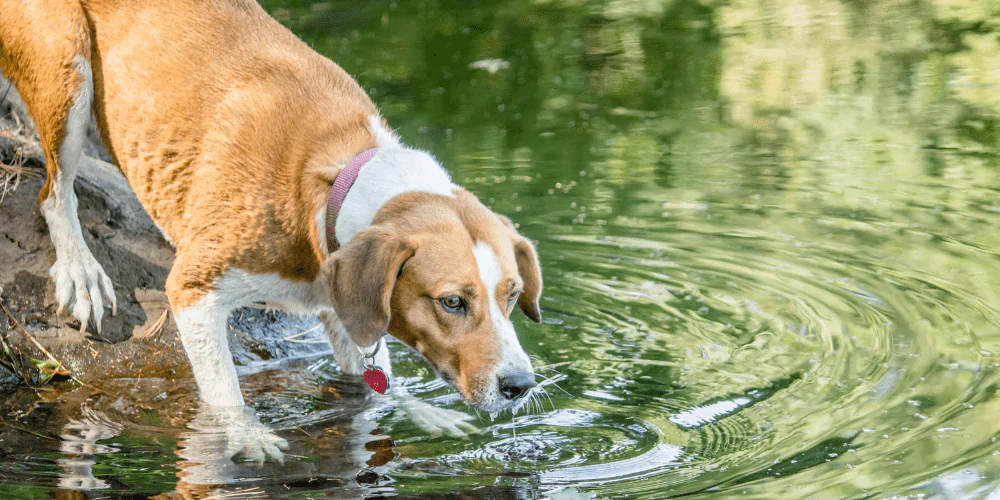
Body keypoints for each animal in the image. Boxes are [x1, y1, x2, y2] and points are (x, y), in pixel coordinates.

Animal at [0, 0, 540, 460]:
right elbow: (225, 393)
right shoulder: (194, 292)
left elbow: (373, 382)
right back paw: (81, 268)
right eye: (452, 302)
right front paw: (249, 436)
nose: (520, 385)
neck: (332, 178)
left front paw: (418, 410)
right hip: (67, 72)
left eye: (513, 295)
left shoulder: (341, 307)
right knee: (55, 193)